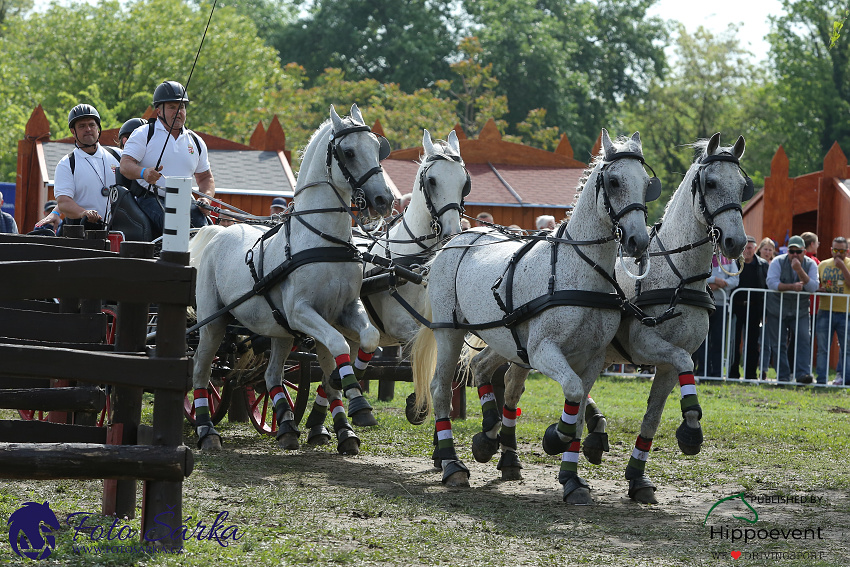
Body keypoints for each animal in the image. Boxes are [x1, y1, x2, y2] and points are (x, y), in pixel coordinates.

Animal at [189, 105, 390, 452]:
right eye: (349, 152)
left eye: (377, 148)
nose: (383, 200)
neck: (322, 240)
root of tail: (218, 231)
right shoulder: (302, 313)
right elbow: (339, 344)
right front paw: (356, 402)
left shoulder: (344, 309)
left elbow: (367, 339)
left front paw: (348, 397)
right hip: (212, 323)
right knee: (201, 372)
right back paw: (207, 432)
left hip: (279, 331)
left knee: (271, 375)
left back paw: (286, 424)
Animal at [302, 131, 468, 446]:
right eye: (432, 180)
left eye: (464, 182)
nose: (453, 232)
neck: (416, 263)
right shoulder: (403, 328)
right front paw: (418, 407)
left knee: (335, 370)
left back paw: (321, 423)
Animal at [410, 130, 656, 502]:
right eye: (614, 181)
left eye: (646, 183)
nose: (638, 241)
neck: (581, 271)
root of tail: (455, 239)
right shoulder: (543, 351)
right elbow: (572, 394)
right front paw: (555, 437)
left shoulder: (593, 359)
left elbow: (579, 410)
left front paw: (572, 479)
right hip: (449, 331)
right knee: (440, 388)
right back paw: (452, 463)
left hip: (504, 336)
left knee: (482, 368)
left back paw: (489, 437)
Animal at [468, 134, 752, 506]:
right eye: (712, 183)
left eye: (743, 187)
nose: (736, 242)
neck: (677, 276)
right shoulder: (647, 345)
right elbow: (683, 361)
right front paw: (691, 430)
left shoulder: (665, 365)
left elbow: (653, 416)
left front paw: (638, 477)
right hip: (525, 345)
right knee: (507, 384)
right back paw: (508, 448)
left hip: (523, 346)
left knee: (500, 376)